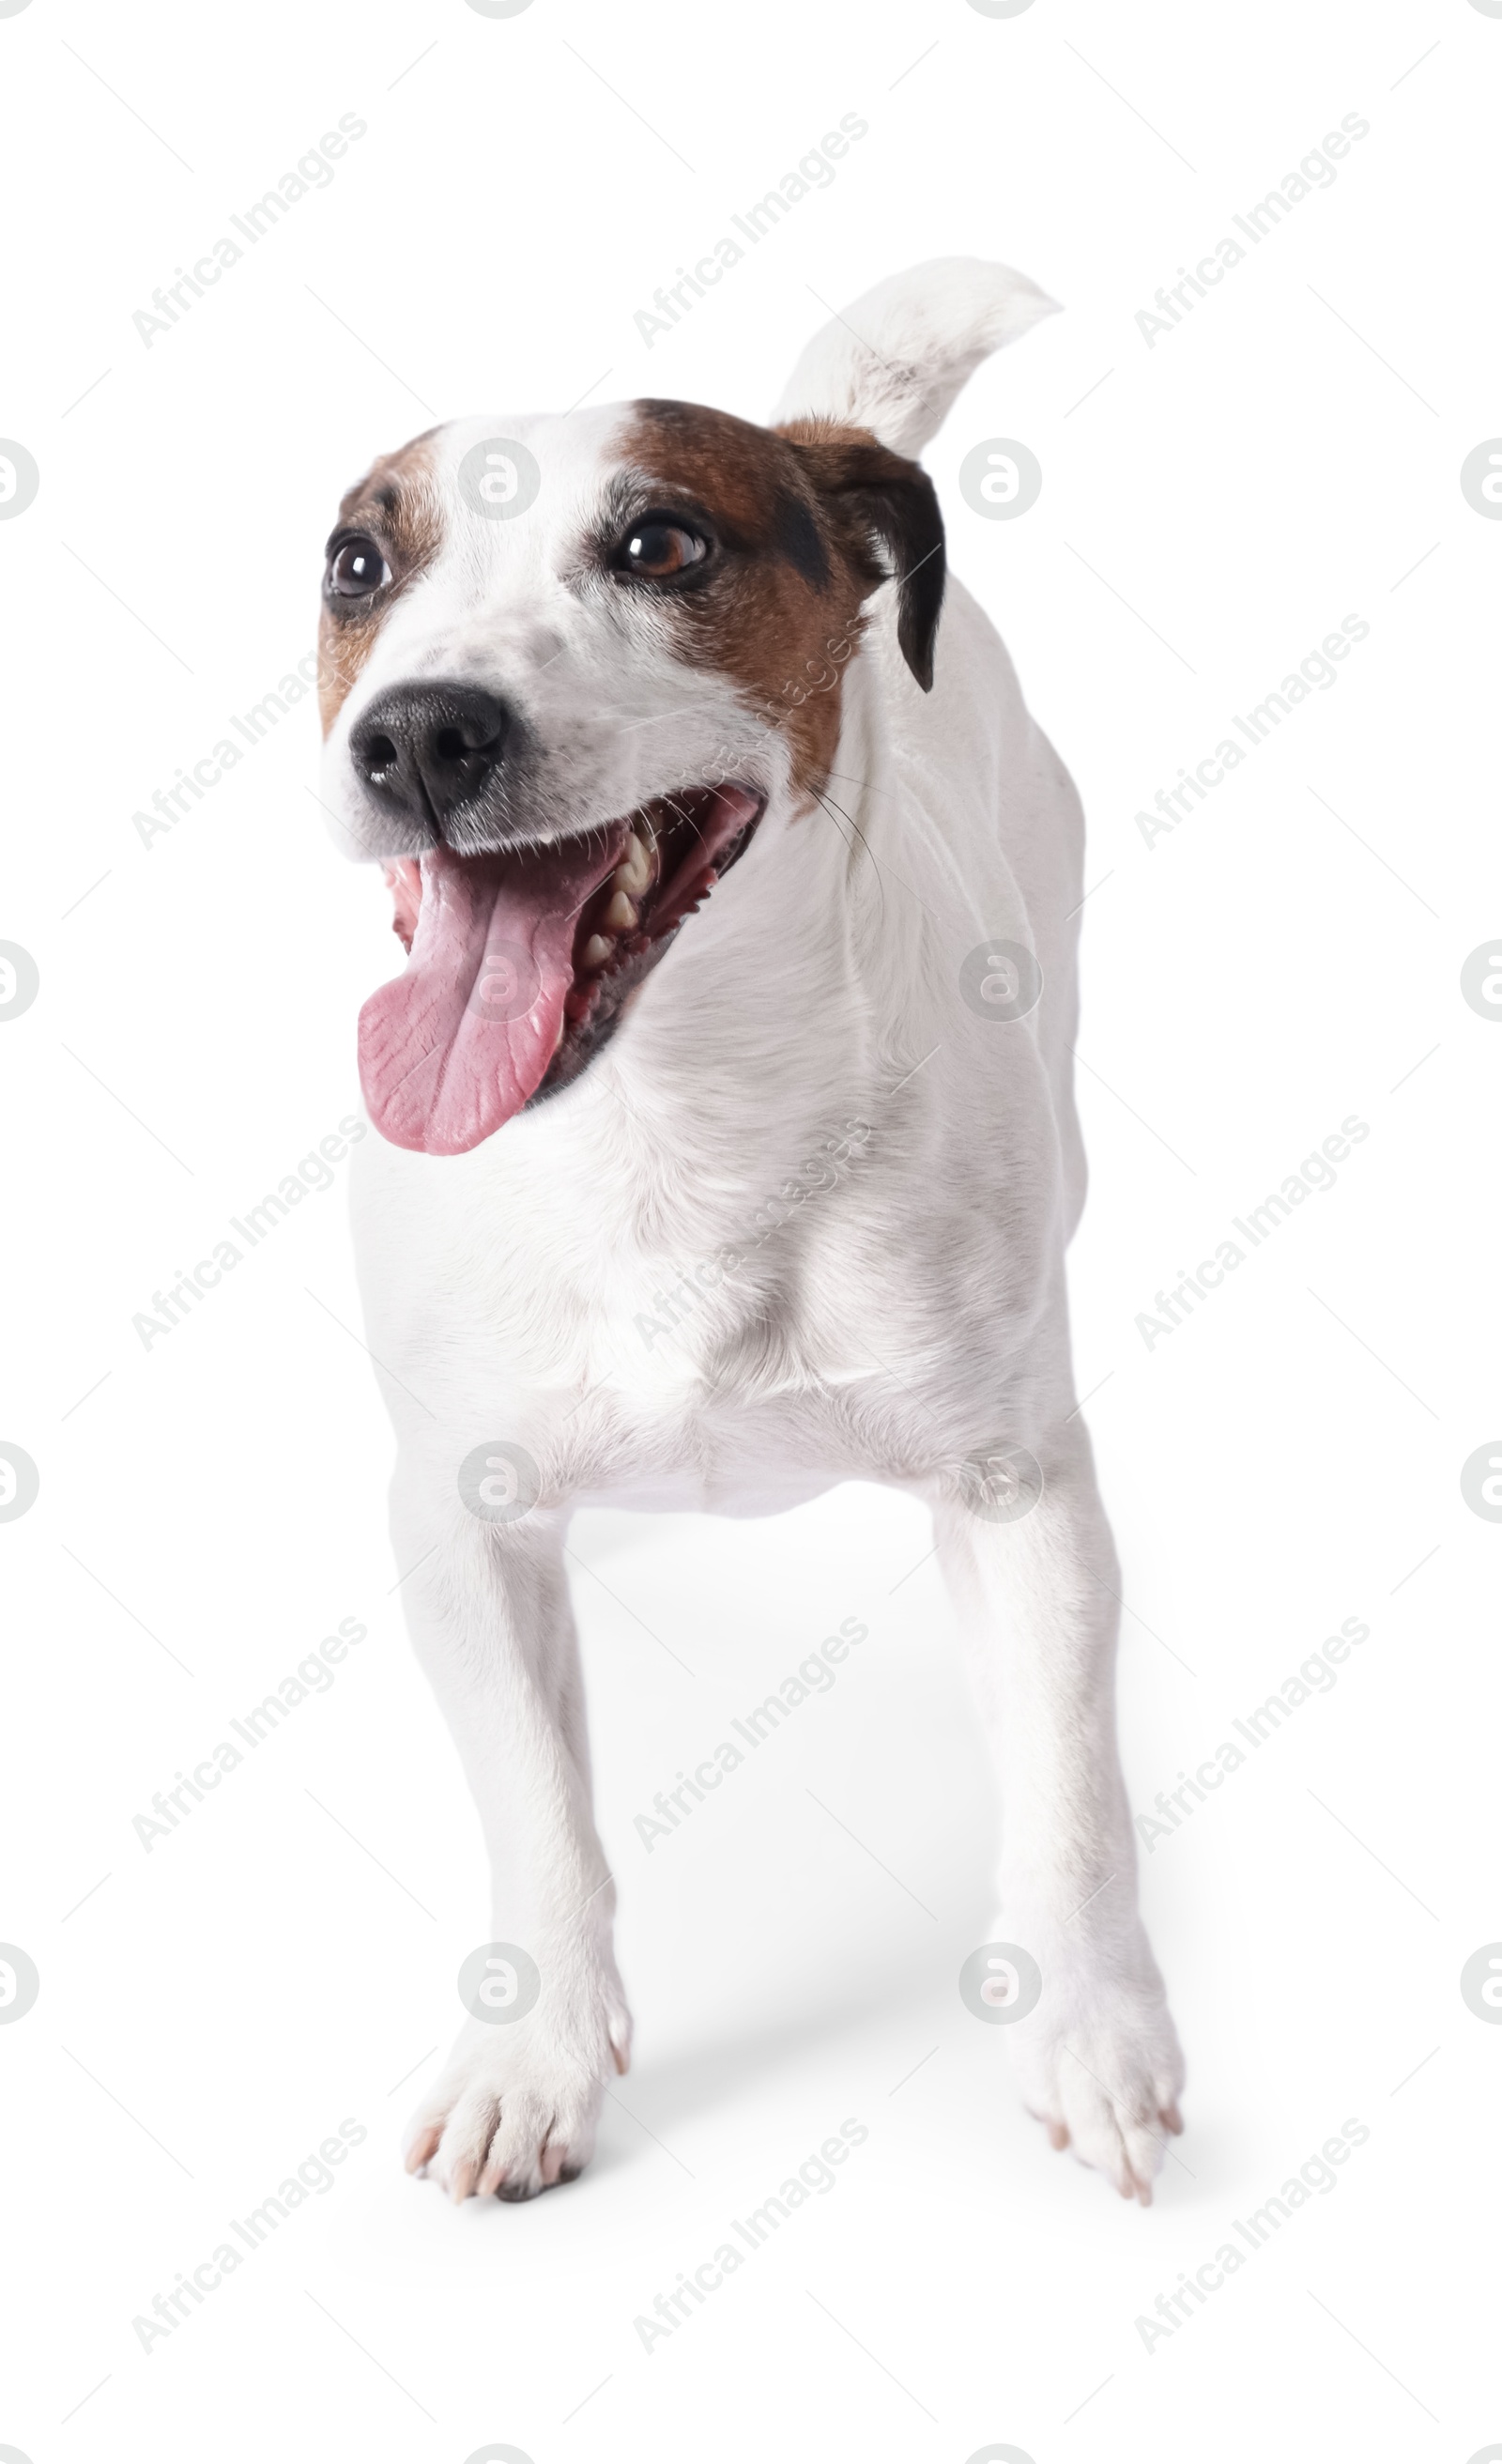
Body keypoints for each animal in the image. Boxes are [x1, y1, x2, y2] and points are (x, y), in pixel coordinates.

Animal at [314, 265, 1182, 2217]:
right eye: (356, 563)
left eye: (661, 540)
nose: (416, 730)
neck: (667, 1122)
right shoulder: (456, 1514)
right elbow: (538, 1811)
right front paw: (535, 2056)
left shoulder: (1025, 1486)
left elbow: (1073, 1789)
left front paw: (1094, 2027)